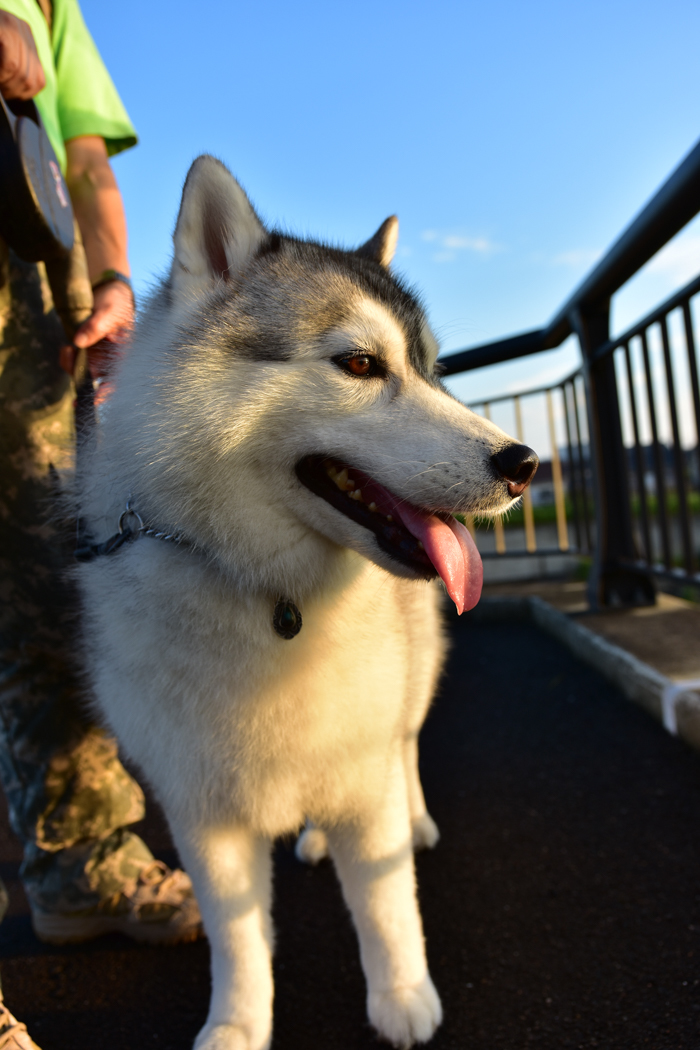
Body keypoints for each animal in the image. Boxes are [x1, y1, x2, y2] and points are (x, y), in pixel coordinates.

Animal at [75, 157, 537, 1050]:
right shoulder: (203, 813)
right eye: (359, 364)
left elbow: (387, 906)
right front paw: (236, 1025)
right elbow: (237, 937)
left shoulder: (363, 776)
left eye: (432, 369)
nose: (524, 463)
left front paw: (403, 998)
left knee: (403, 747)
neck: (275, 597)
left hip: (405, 690)